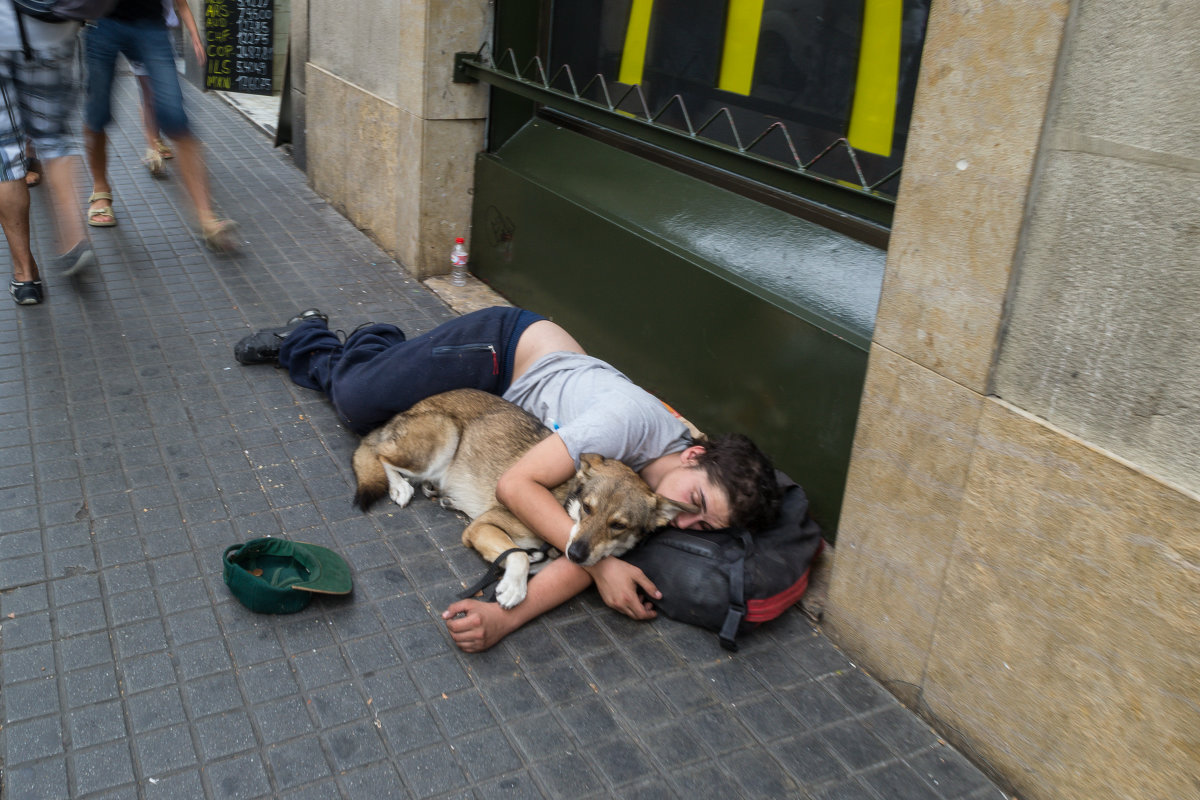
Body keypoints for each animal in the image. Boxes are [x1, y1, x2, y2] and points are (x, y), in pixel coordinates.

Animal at [350, 388, 696, 606]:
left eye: (619, 525)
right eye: (587, 508)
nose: (576, 555)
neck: (562, 508)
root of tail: (408, 410)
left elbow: (523, 559)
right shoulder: (482, 527)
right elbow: (516, 555)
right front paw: (514, 589)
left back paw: (436, 492)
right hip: (443, 438)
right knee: (378, 455)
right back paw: (400, 487)